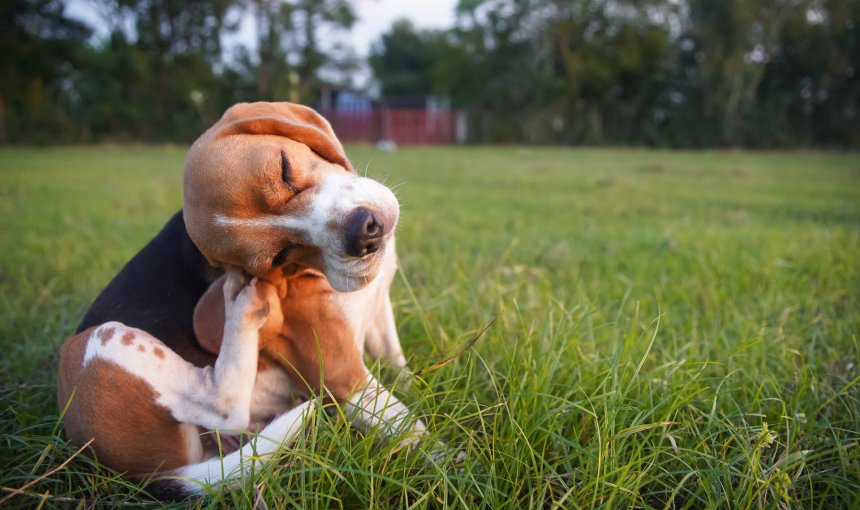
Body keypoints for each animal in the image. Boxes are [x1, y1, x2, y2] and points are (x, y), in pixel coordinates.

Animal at [55, 102, 424, 498]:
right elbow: (417, 432)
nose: (364, 235)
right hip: (98, 343)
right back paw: (243, 307)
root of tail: (145, 475)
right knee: (222, 407)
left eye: (285, 169)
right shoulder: (344, 376)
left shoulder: (379, 315)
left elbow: (399, 367)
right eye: (278, 257)